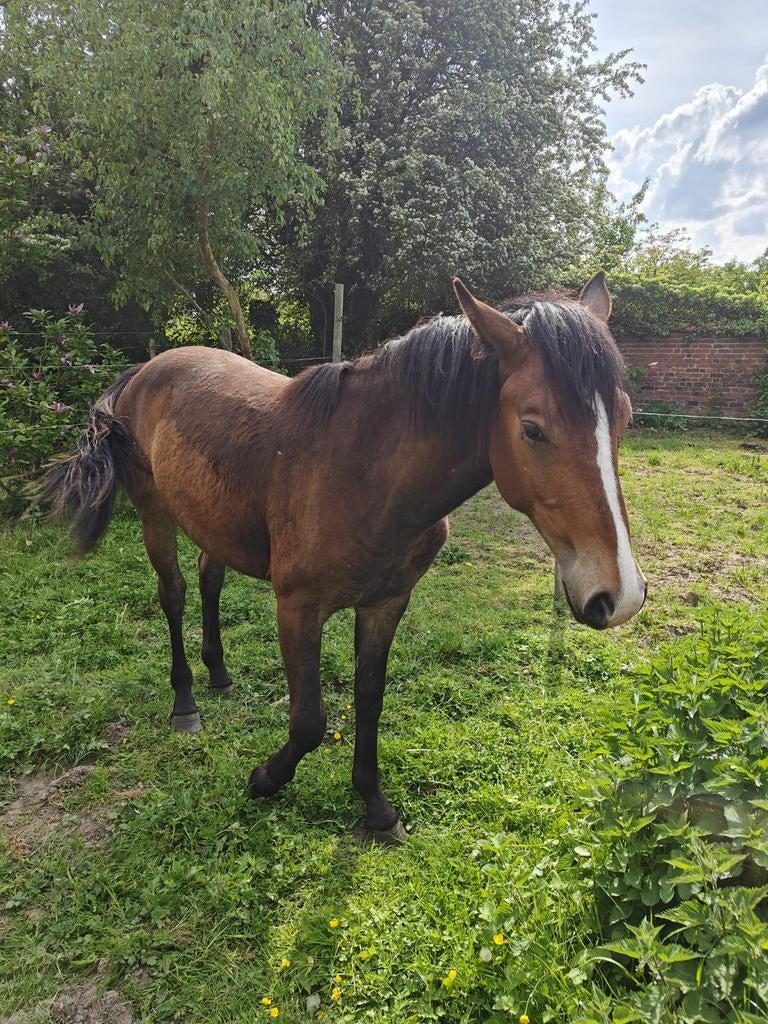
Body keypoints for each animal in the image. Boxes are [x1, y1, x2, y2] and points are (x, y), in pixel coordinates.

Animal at [40, 273, 646, 842]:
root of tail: (145, 370)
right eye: (532, 428)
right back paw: (186, 701)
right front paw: (265, 779)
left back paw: (219, 674)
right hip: (155, 513)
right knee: (174, 594)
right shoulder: (297, 608)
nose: (618, 595)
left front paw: (375, 807)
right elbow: (309, 720)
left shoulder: (386, 603)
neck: (363, 473)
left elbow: (369, 698)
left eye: (625, 418)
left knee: (210, 580)